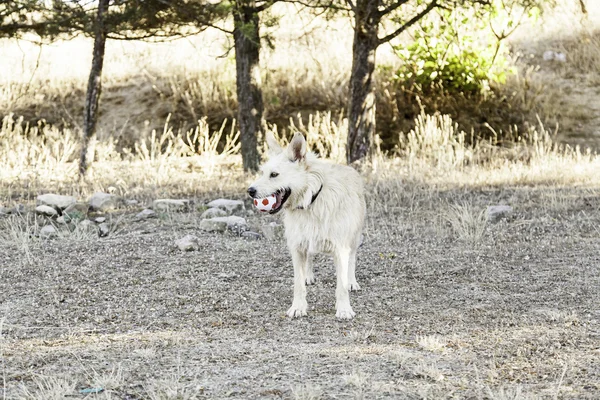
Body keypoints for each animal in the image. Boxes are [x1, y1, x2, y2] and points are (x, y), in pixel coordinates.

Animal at [248, 133, 366, 320]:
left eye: (274, 174)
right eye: (262, 173)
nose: (250, 191)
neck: (310, 200)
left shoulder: (340, 248)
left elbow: (341, 285)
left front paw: (344, 309)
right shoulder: (297, 247)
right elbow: (298, 283)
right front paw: (298, 307)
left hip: (354, 236)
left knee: (352, 258)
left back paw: (352, 281)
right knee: (310, 256)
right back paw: (308, 276)